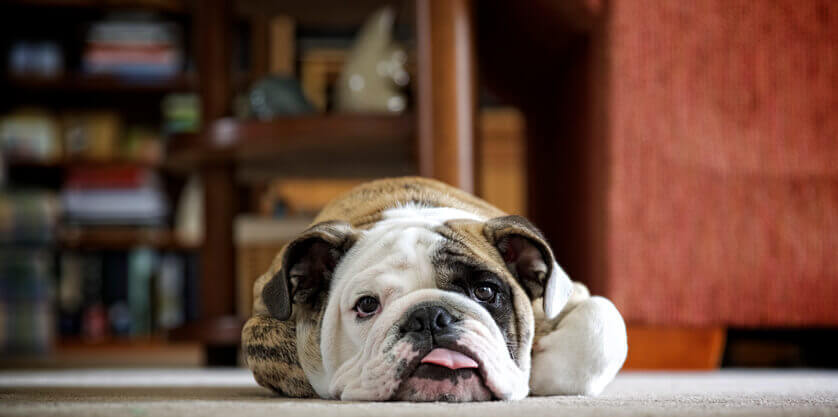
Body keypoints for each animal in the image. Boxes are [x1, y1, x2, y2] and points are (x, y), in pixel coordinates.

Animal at [240, 177, 628, 402]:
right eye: (367, 305)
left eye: (485, 292)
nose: (431, 316)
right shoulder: (263, 317)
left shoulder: (569, 295)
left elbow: (603, 324)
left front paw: (540, 370)